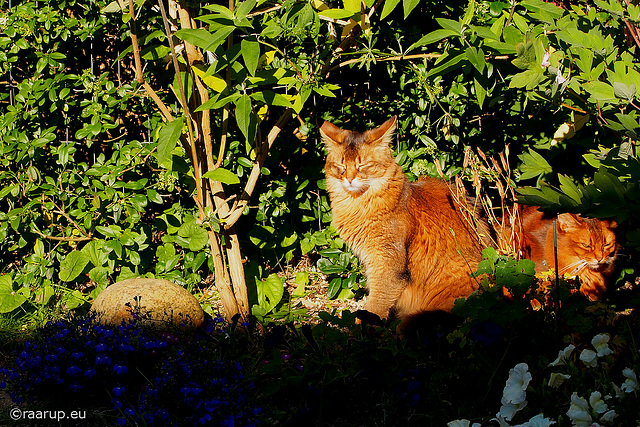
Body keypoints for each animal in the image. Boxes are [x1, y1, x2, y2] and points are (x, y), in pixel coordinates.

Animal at [322, 115, 488, 326]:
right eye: (341, 167)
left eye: (363, 166)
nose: (350, 179)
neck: (358, 203)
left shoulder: (387, 261)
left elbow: (377, 303)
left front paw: (363, 325)